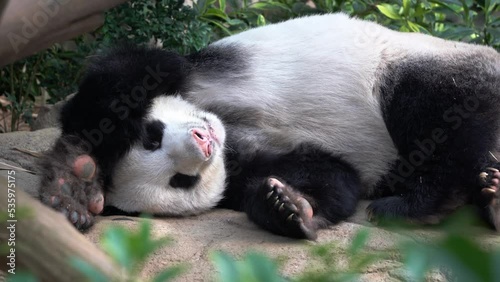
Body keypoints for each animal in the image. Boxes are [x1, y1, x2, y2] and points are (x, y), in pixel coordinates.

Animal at [39, 12, 500, 239]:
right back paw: (486, 198)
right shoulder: (242, 166)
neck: (228, 127)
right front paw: (289, 207)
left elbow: (122, 77)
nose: (203, 142)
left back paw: (419, 201)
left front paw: (74, 179)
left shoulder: (188, 69)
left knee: (440, 109)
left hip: (415, 64)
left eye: (153, 136)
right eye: (180, 181)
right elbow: (333, 176)